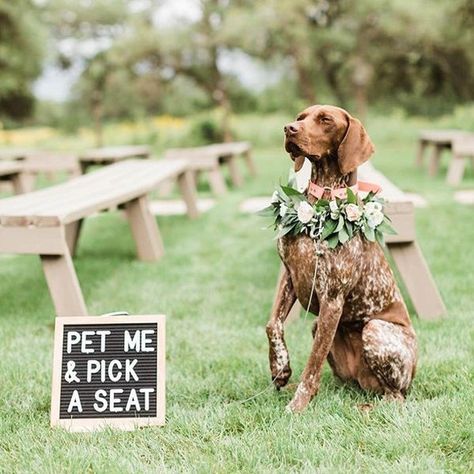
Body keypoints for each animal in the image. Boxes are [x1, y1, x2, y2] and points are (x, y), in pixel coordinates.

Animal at [266, 103, 418, 412]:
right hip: (321, 330)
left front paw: (297, 406)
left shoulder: (332, 299)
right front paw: (280, 369)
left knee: (395, 397)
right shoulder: (290, 274)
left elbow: (312, 365)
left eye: (325, 120)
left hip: (375, 329)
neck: (321, 201)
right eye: (300, 118)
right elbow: (272, 325)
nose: (288, 128)